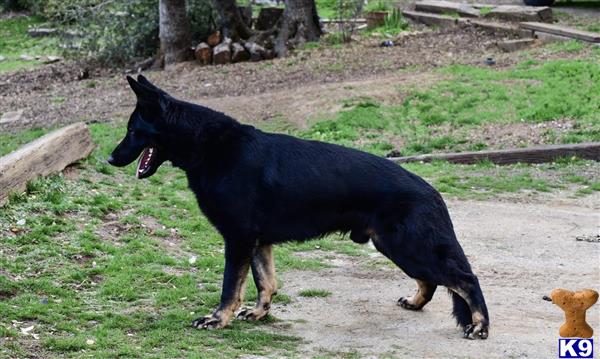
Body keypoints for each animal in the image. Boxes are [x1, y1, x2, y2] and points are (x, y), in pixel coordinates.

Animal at [109, 75, 488, 340]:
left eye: (132, 130)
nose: (110, 159)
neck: (208, 145)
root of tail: (431, 191)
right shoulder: (258, 242)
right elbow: (266, 282)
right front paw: (260, 314)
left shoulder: (238, 240)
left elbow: (231, 287)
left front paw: (219, 319)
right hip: (397, 247)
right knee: (434, 280)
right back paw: (415, 303)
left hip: (406, 247)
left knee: (465, 279)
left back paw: (481, 326)